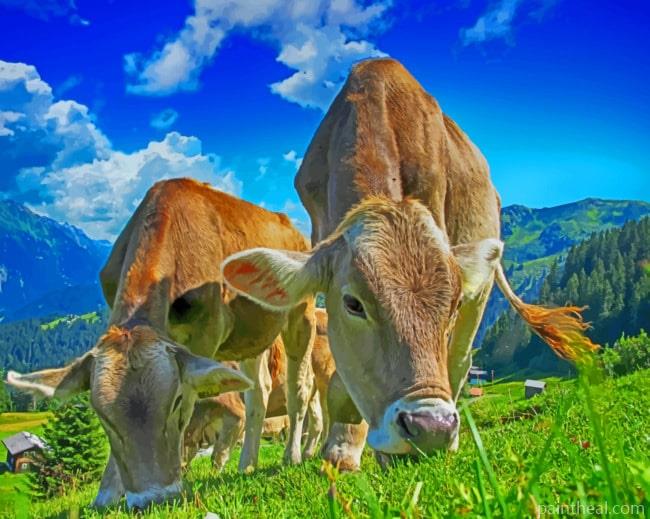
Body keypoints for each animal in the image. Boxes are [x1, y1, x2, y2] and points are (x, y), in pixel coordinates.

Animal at [7, 178, 316, 508]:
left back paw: (292, 456)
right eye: (102, 416)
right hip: (251, 335)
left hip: (302, 312)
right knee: (258, 391)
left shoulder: (205, 335)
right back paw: (247, 464)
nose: (153, 499)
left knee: (299, 388)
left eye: (176, 401)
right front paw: (106, 495)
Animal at [221, 58, 598, 470]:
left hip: (480, 291)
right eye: (353, 303)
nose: (431, 428)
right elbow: (340, 380)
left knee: (459, 360)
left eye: (451, 305)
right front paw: (342, 448)